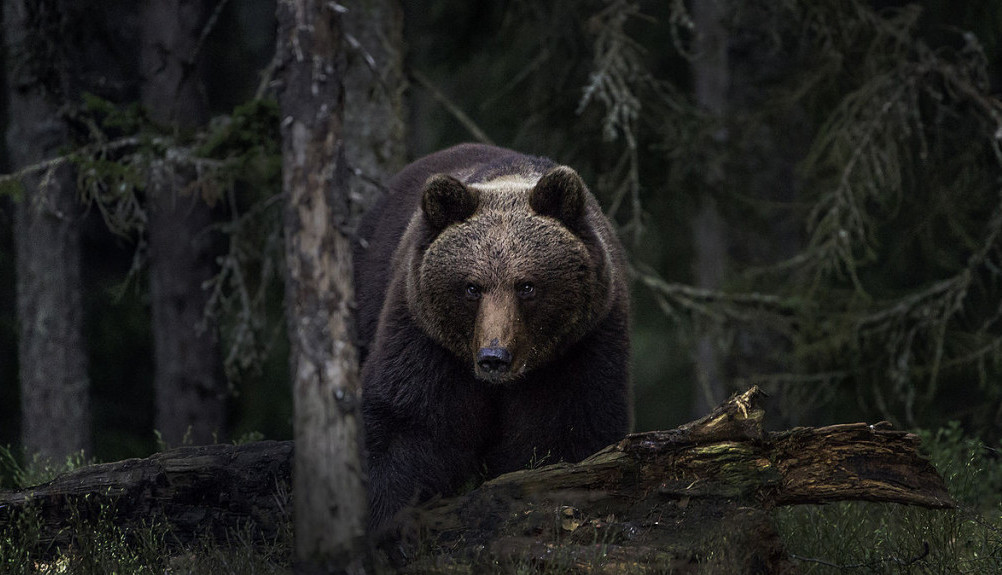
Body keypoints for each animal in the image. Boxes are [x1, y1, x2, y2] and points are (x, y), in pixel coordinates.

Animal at [356, 145, 629, 532]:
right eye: (472, 287)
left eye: (526, 285)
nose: (494, 357)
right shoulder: (424, 337)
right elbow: (408, 421)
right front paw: (388, 517)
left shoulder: (580, 348)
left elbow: (567, 432)